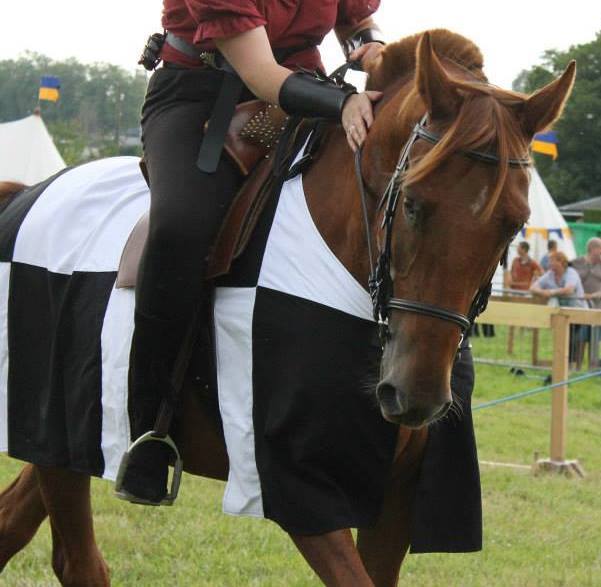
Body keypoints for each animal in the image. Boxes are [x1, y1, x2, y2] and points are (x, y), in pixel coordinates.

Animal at [0, 32, 576, 587]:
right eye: (412, 203)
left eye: (513, 223)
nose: (416, 395)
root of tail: (26, 195)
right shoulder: (300, 491)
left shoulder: (393, 502)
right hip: (51, 425)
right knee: (78, 561)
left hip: (73, 439)